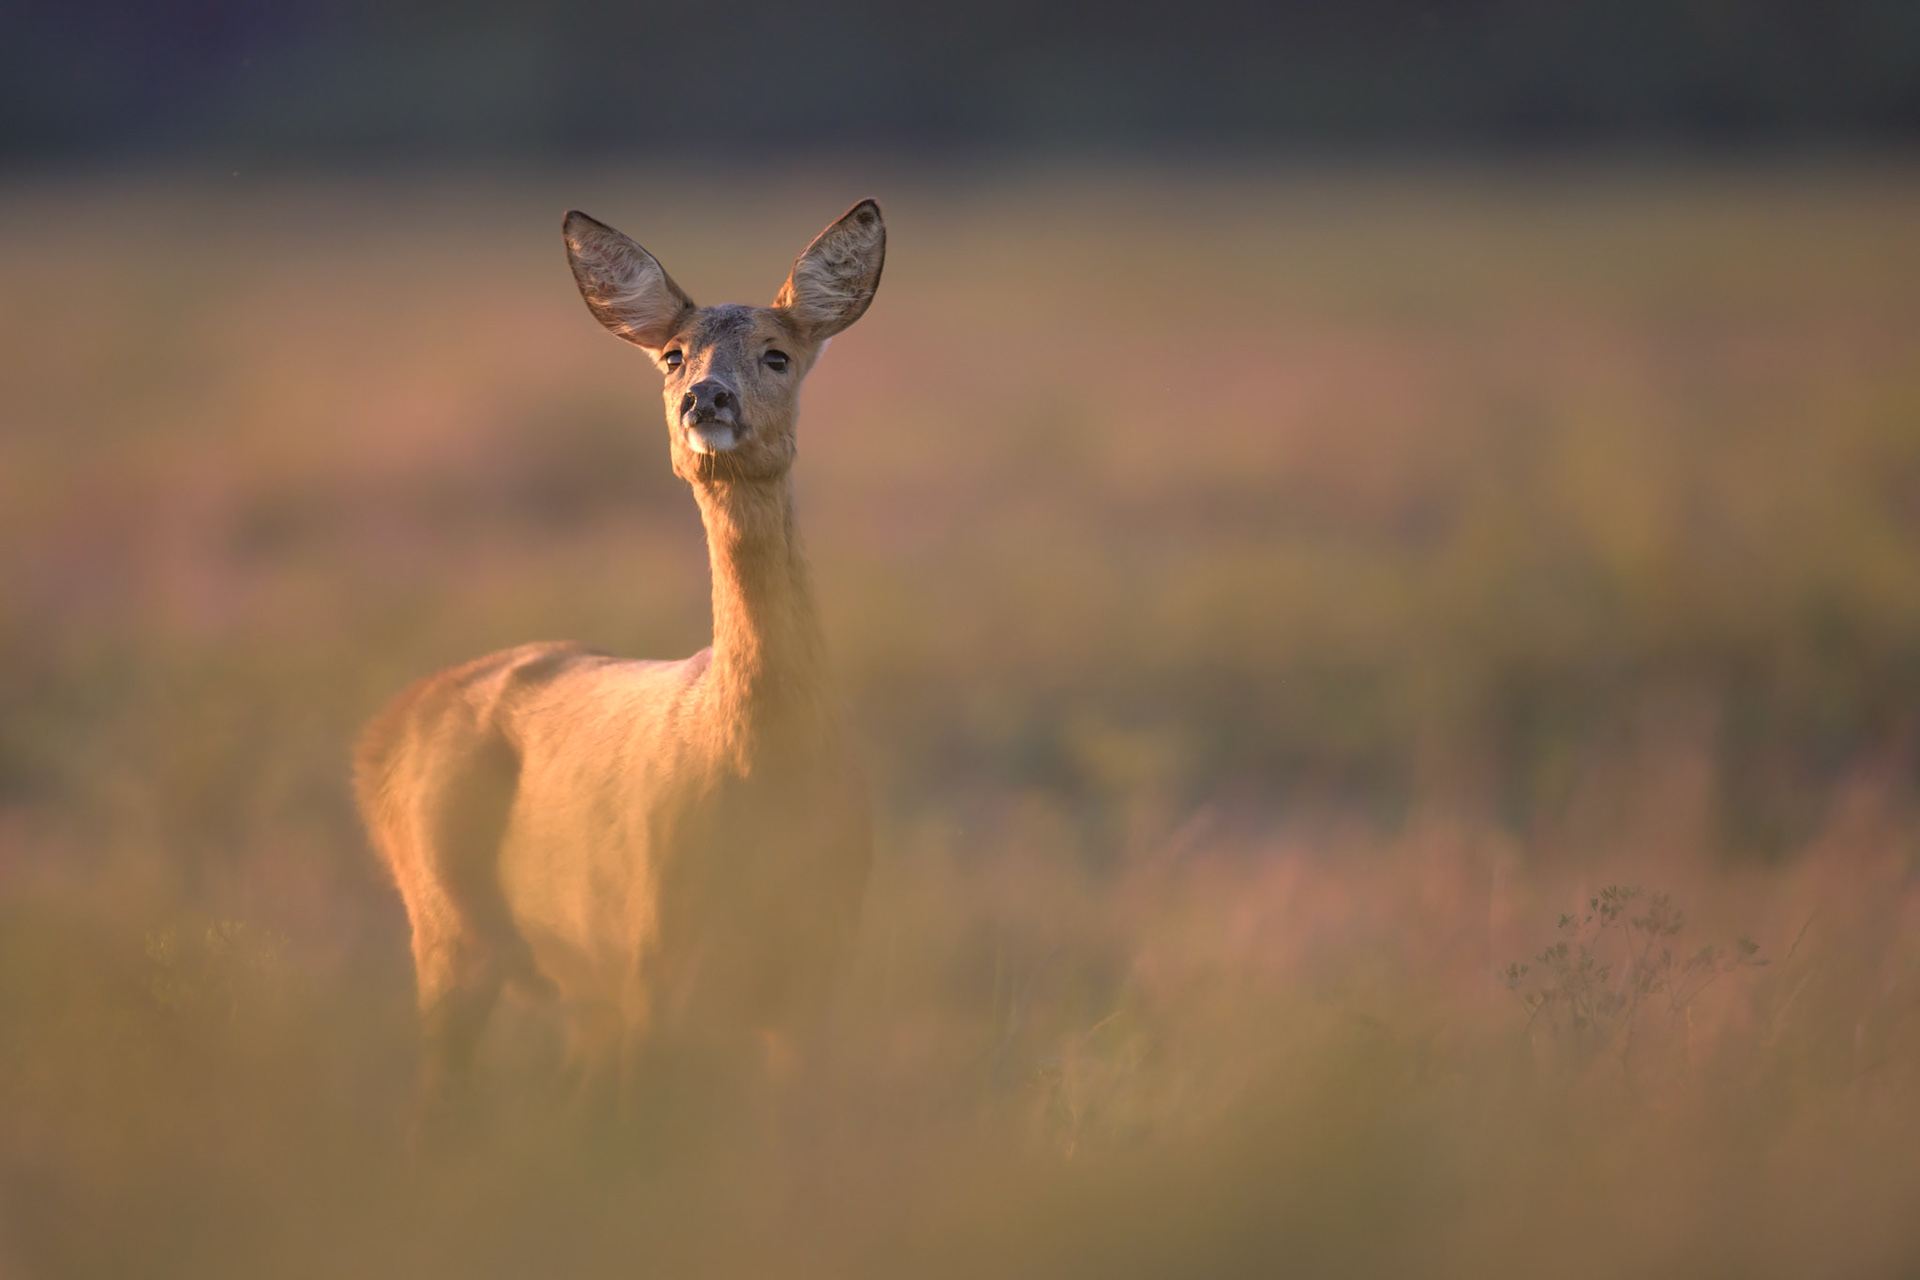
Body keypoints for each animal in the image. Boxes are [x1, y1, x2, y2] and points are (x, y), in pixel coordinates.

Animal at [353, 199, 883, 1132]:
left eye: (777, 353)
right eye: (673, 355)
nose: (704, 398)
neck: (765, 768)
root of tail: (382, 736)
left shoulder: (818, 966)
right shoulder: (650, 949)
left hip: (570, 986)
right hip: (449, 928)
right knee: (436, 1102)